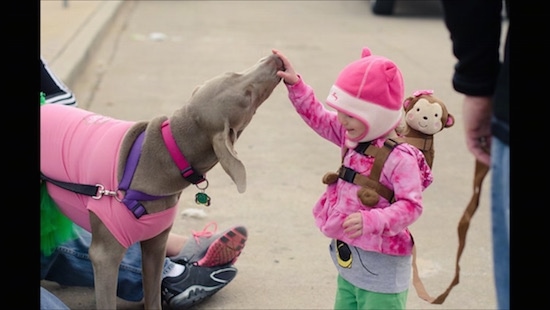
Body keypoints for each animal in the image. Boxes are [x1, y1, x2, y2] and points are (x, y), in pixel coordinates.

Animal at [40, 54, 284, 310]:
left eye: (234, 74)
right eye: (248, 95)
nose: (275, 59)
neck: (167, 151)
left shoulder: (155, 246)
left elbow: (154, 294)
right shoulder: (104, 256)